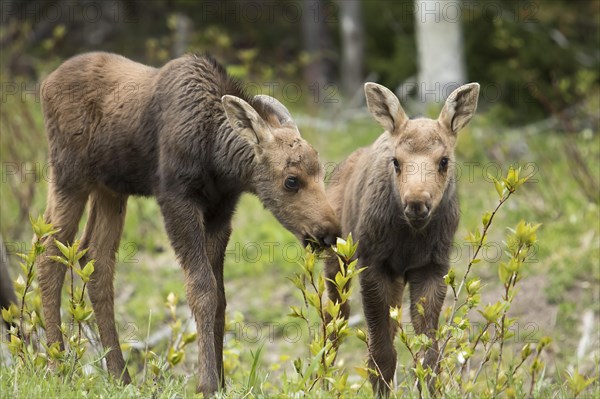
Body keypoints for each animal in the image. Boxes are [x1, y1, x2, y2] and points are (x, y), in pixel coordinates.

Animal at [37, 52, 340, 396]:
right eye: (291, 180)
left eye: (321, 172)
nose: (329, 232)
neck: (218, 159)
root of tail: (45, 84)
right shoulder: (176, 199)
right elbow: (202, 290)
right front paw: (206, 383)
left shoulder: (221, 212)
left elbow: (221, 298)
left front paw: (220, 380)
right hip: (69, 175)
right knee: (49, 253)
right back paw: (57, 366)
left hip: (110, 189)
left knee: (94, 258)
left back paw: (119, 375)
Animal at [326, 82, 480, 396]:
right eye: (396, 162)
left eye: (444, 161)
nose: (416, 203)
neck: (410, 239)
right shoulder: (373, 264)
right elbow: (381, 354)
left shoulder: (432, 267)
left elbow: (429, 355)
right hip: (337, 262)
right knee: (333, 322)